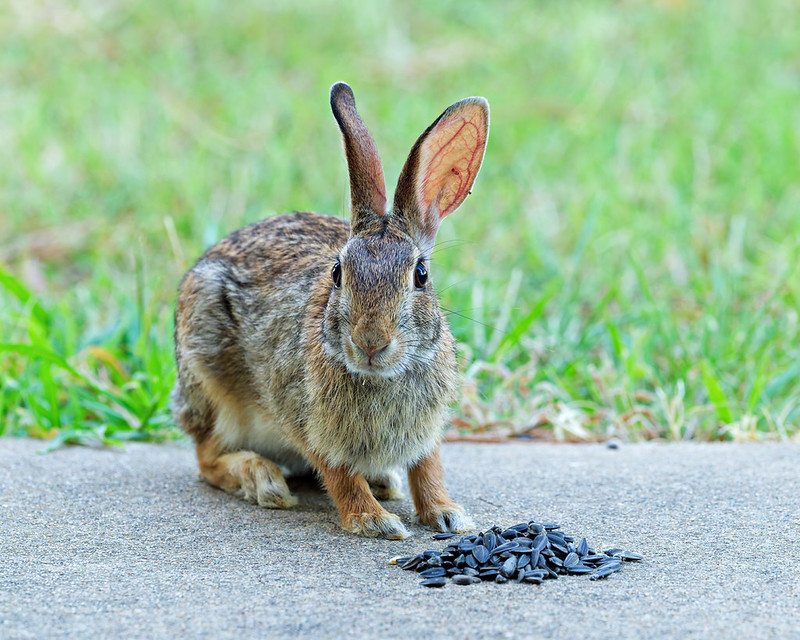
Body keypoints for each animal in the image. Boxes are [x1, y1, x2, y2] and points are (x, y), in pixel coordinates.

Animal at [171, 81, 489, 539]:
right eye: (338, 272)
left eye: (421, 275)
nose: (370, 343)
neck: (381, 376)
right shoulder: (310, 421)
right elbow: (339, 474)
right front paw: (373, 521)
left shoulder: (425, 433)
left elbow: (429, 469)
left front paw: (447, 514)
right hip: (212, 383)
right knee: (206, 457)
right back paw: (263, 479)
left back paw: (383, 481)